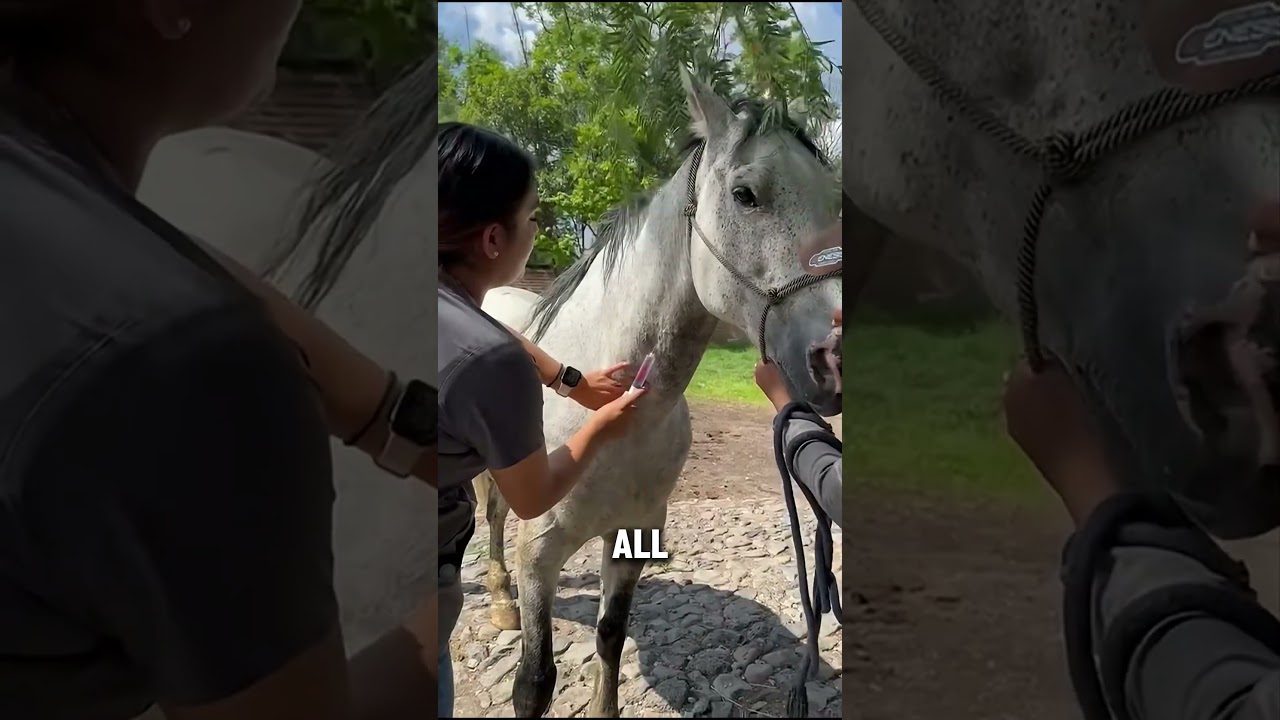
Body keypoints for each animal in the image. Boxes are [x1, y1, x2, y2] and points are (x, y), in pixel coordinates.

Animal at [471, 70, 843, 717]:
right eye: (746, 195)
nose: (833, 357)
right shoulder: (538, 554)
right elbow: (534, 681)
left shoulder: (635, 536)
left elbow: (611, 637)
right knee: (488, 514)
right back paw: (498, 602)